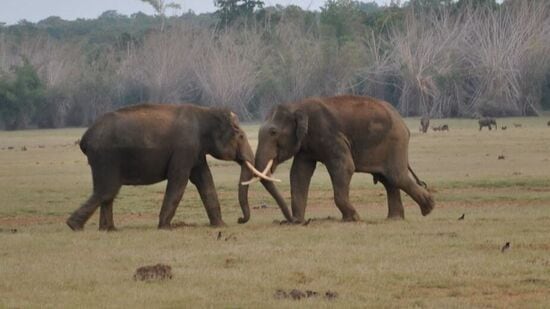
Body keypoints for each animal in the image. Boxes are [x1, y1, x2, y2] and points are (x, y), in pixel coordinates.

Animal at [66, 103, 272, 229]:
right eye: (241, 136)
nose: (239, 220)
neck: (204, 111)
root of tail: (85, 137)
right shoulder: (185, 148)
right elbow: (179, 180)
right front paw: (165, 227)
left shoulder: (196, 151)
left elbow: (205, 180)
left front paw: (220, 226)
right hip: (106, 157)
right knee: (107, 190)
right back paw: (74, 226)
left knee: (108, 192)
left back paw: (108, 229)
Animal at [244, 95, 438, 223]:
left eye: (273, 132)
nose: (289, 220)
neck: (298, 105)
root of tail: (402, 122)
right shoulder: (306, 145)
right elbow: (299, 173)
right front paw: (298, 221)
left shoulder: (330, 135)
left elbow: (344, 167)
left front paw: (353, 218)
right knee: (388, 180)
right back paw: (395, 218)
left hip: (395, 142)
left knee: (396, 176)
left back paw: (428, 208)